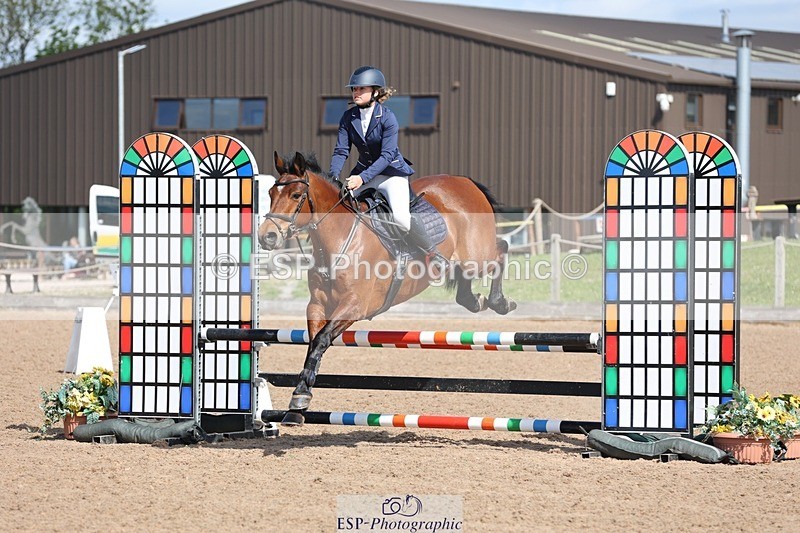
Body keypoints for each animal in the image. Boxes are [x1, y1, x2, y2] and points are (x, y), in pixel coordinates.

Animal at [259, 151, 516, 425]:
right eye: (270, 194)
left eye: (296, 195)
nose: (267, 236)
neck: (339, 239)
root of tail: (465, 181)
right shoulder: (317, 305)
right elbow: (313, 343)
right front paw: (298, 402)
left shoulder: (355, 305)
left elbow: (321, 340)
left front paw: (300, 397)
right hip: (462, 260)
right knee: (466, 277)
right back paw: (473, 299)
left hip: (477, 256)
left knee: (501, 249)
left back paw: (501, 302)